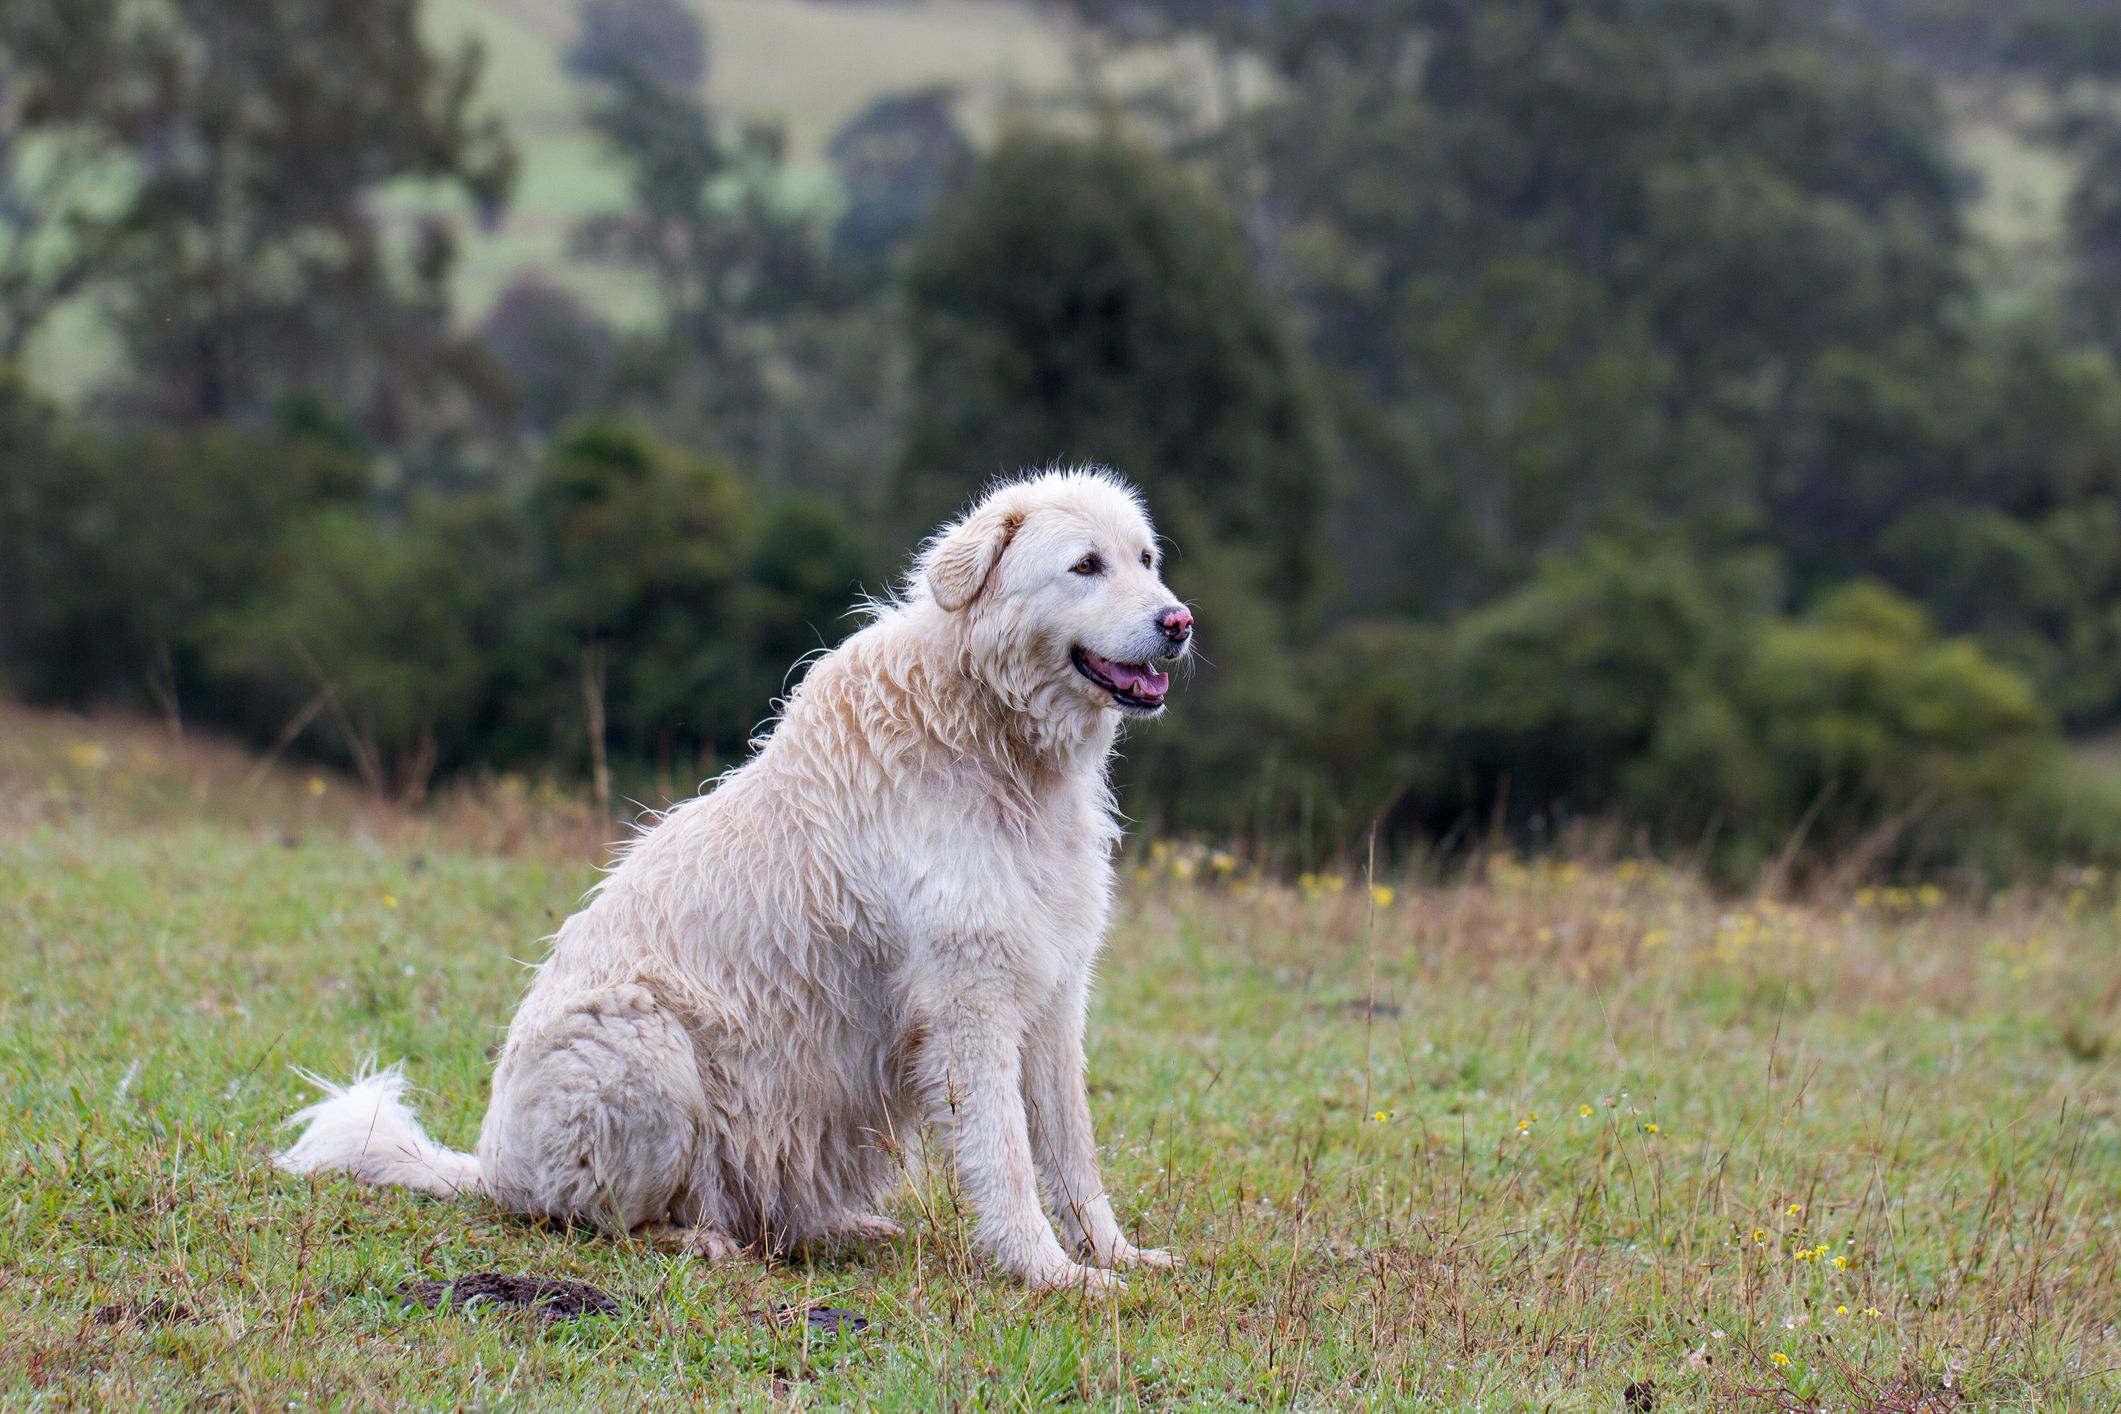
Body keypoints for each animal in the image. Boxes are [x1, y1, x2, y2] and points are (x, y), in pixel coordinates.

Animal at [286, 470, 1196, 1288]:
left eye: (1145, 559)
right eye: (1084, 566)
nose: (1178, 621)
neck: (992, 736)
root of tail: (490, 1168)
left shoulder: (1053, 995)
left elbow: (1072, 1152)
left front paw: (1115, 1257)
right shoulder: (969, 1003)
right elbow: (1005, 1157)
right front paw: (1049, 1274)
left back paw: (838, 1228)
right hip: (643, 1043)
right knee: (595, 1217)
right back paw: (695, 1241)